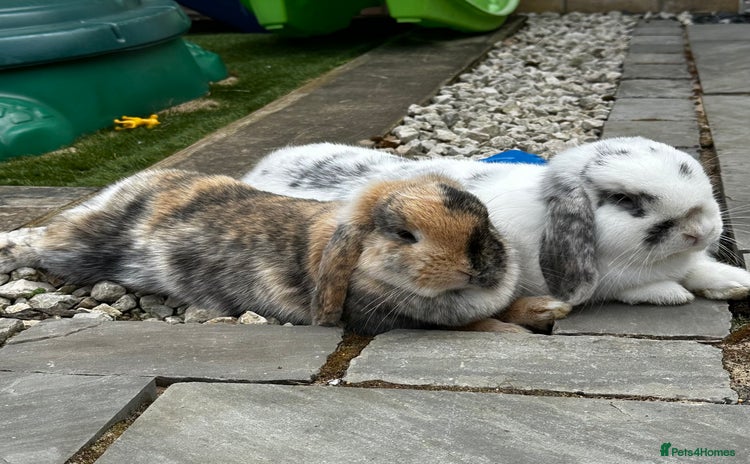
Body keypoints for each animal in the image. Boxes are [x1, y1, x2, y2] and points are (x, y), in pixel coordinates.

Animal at [0, 169, 570, 335]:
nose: (478, 267)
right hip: (80, 248)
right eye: (404, 235)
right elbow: (479, 326)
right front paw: (516, 333)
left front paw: (548, 310)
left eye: (484, 219)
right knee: (40, 241)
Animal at [242, 137, 750, 306]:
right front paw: (671, 293)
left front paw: (736, 283)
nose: (702, 229)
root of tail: (257, 168)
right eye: (626, 200)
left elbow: (702, 270)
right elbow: (632, 288)